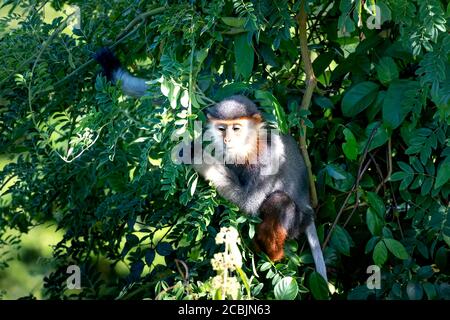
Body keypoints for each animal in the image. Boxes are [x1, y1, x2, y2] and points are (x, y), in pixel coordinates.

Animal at [94, 48, 326, 282]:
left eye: (236, 128)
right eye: (222, 128)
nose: (227, 139)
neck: (249, 144)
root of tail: (309, 208)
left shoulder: (270, 155)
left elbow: (250, 202)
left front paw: (193, 153)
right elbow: (162, 93)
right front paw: (111, 67)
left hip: (298, 221)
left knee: (280, 201)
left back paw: (271, 254)